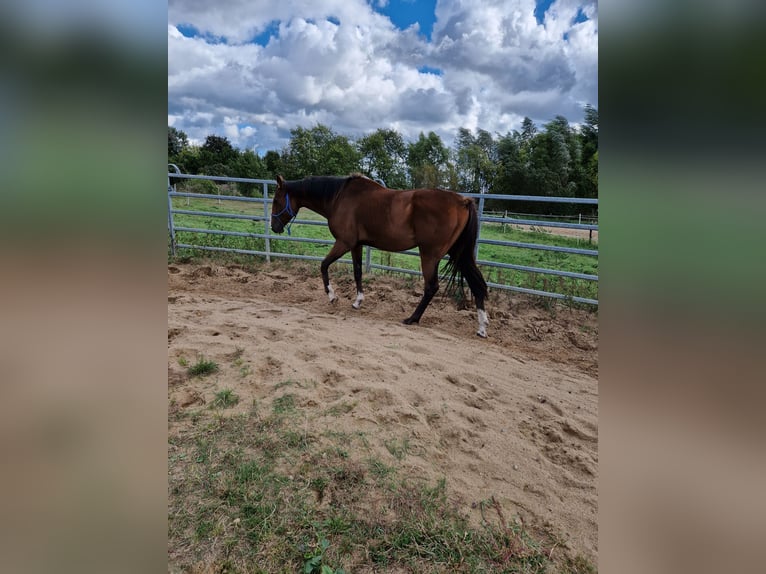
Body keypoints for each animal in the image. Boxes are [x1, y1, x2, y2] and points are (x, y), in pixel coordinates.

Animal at [272, 173, 488, 340]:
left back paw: (412, 319)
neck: (339, 197)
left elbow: (324, 265)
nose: (274, 227)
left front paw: (332, 296)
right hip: (459, 254)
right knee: (478, 284)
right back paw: (482, 327)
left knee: (431, 287)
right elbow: (357, 272)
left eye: (276, 200)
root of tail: (463, 201)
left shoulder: (344, 243)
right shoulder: (356, 245)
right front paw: (357, 301)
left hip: (429, 255)